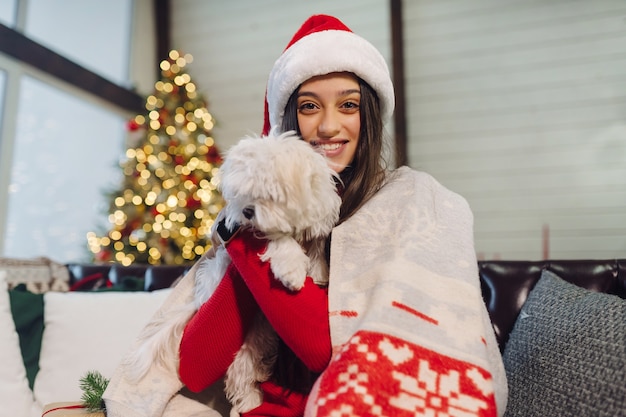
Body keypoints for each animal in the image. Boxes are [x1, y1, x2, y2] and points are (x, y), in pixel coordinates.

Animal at [123, 129, 338, 412]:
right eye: (243, 193)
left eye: (269, 194)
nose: (247, 210)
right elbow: (280, 240)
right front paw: (291, 270)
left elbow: (316, 246)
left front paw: (319, 270)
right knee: (240, 378)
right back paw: (249, 403)